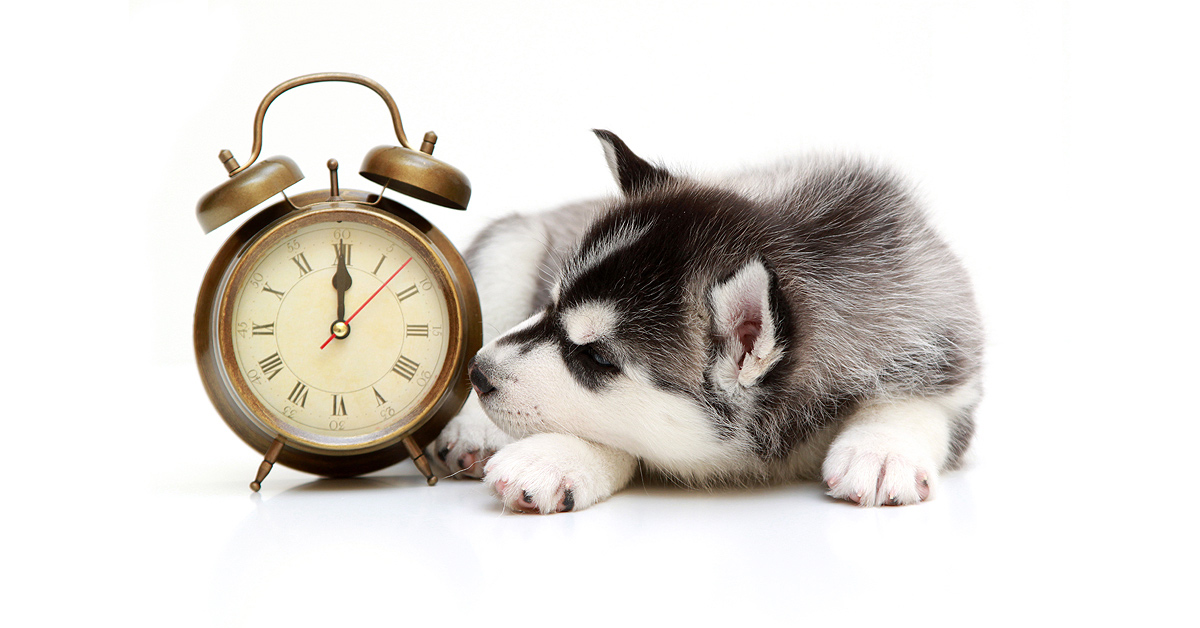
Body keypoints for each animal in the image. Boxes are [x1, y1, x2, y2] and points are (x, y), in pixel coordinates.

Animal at [432, 130, 984, 513]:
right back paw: (474, 430)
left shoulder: (948, 346)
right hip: (510, 246)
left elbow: (919, 403)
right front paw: (556, 457)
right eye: (549, 303)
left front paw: (883, 450)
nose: (478, 373)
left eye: (596, 357)